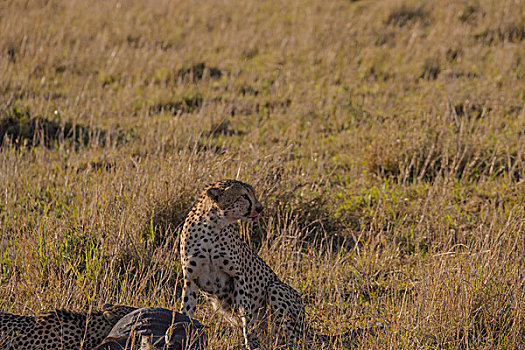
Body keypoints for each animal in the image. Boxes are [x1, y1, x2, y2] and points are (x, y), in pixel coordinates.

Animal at [179, 180, 356, 350]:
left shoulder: (238, 277)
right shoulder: (190, 279)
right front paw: (185, 333)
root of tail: (307, 329)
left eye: (253, 194)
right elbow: (186, 310)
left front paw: (252, 344)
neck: (213, 225)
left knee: (295, 339)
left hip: (276, 288)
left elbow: (247, 317)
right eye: (244, 196)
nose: (259, 208)